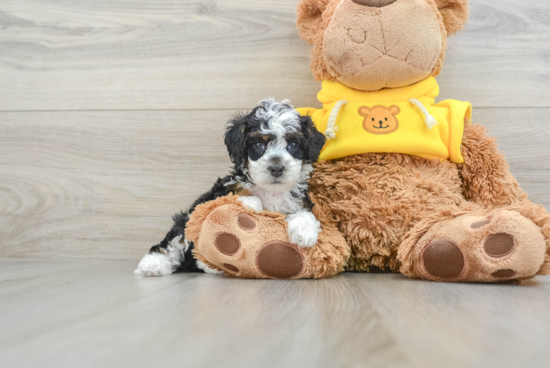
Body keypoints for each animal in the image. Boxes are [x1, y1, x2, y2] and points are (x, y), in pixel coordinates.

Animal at [136, 98, 328, 276]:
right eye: (259, 144)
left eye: (293, 145)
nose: (276, 168)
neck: (270, 191)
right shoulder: (219, 192)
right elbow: (236, 192)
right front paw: (251, 203)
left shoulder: (299, 200)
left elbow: (305, 212)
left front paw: (305, 233)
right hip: (188, 218)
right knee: (176, 240)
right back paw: (153, 264)